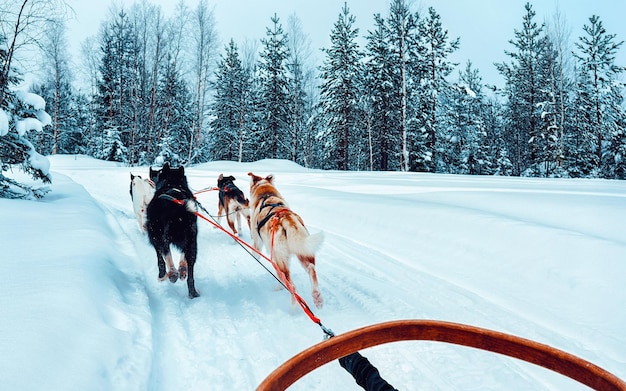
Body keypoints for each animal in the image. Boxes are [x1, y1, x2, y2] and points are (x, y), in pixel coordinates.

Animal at [146, 164, 197, 298]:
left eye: (159, 173)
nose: (153, 174)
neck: (173, 184)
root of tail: (178, 208)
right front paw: (182, 268)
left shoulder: (154, 238)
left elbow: (160, 259)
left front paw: (162, 274)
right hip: (192, 241)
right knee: (190, 271)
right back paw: (191, 289)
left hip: (160, 236)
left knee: (166, 252)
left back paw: (172, 273)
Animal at [245, 172, 322, 310]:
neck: (266, 195)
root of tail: (287, 219)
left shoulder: (257, 241)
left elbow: (255, 253)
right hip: (303, 252)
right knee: (311, 268)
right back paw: (316, 296)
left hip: (278, 260)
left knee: (292, 286)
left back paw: (293, 308)